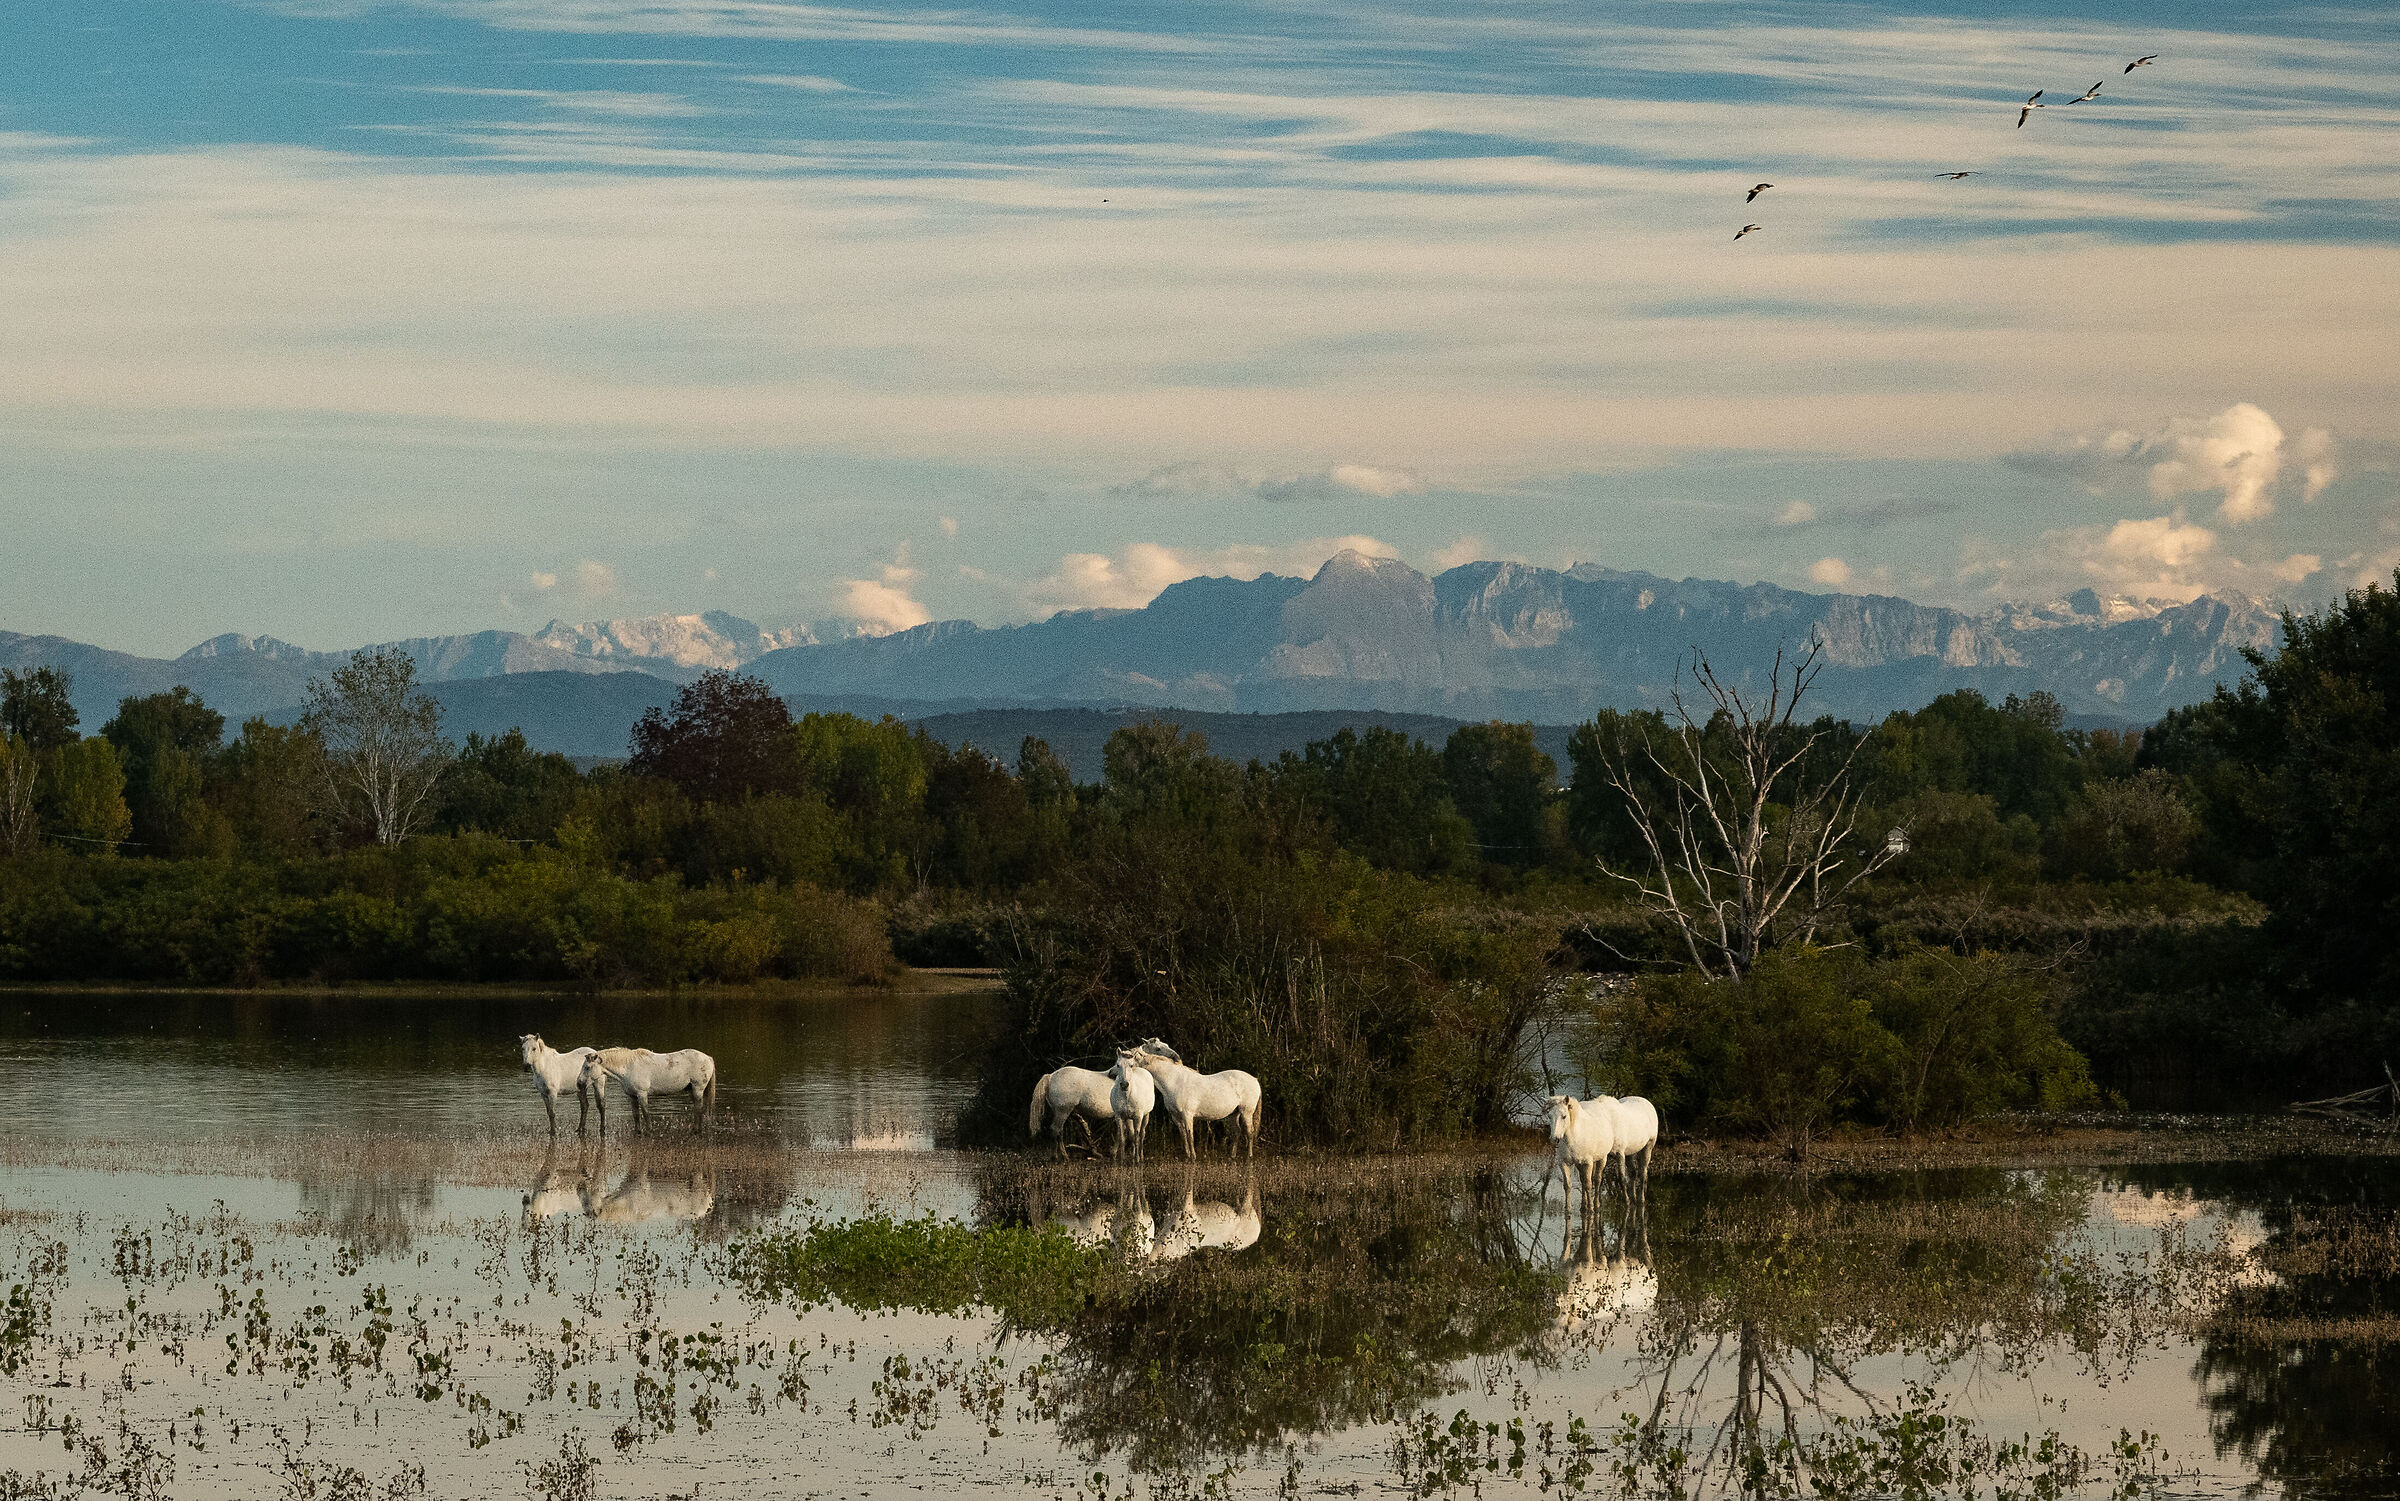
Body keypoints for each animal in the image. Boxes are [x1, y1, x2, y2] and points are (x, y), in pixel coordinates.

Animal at [581, 1048, 718, 1138]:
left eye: (587, 1067)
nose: (579, 1083)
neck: (629, 1066)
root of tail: (708, 1058)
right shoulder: (632, 1096)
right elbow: (636, 1114)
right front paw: (637, 1131)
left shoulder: (642, 1094)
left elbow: (645, 1113)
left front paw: (649, 1131)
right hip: (693, 1090)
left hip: (698, 1088)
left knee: (699, 1109)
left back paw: (697, 1130)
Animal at [1126, 1047, 1262, 1160]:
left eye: (1132, 1057)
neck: (1175, 1081)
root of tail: (1255, 1080)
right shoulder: (1176, 1117)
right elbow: (1183, 1136)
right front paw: (1187, 1156)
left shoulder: (1188, 1115)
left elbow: (1190, 1135)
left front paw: (1193, 1157)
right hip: (1234, 1114)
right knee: (1237, 1132)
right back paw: (1232, 1156)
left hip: (1246, 1112)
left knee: (1249, 1132)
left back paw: (1249, 1156)